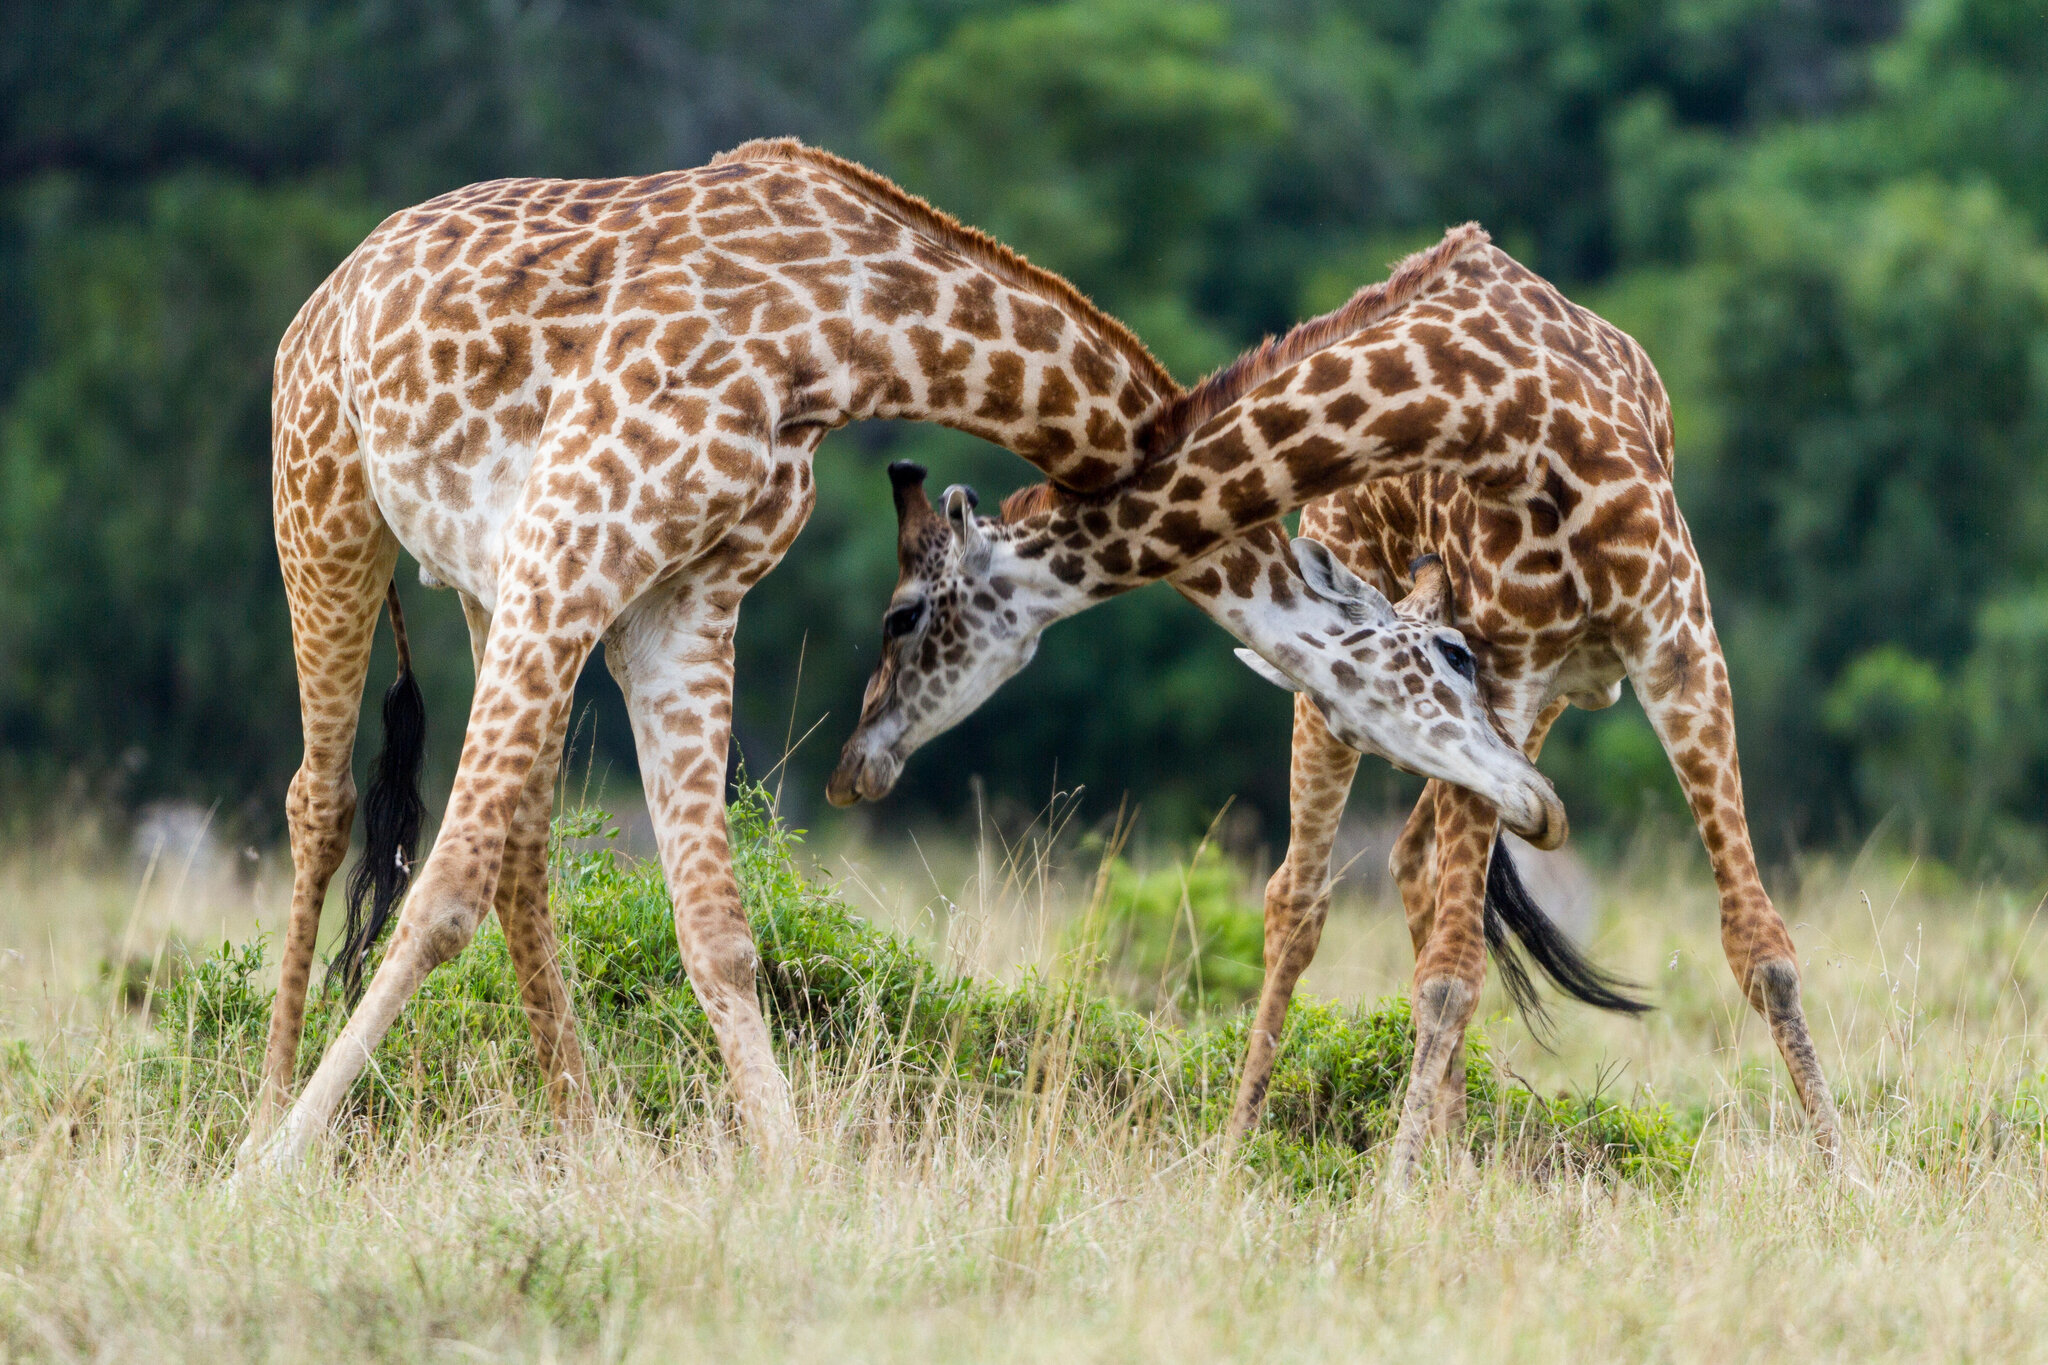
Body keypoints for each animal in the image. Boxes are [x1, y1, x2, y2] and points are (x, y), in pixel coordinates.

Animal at [249, 141, 1557, 1172]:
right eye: (1452, 658)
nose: (1536, 802)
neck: (844, 329)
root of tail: (333, 284)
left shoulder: (678, 597)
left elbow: (717, 927)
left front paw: (794, 1180)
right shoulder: (577, 550)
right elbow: (440, 897)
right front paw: (276, 1168)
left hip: (482, 579)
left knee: (515, 833)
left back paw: (577, 1134)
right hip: (326, 500)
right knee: (321, 796)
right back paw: (261, 1115)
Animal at [831, 224, 1840, 1186]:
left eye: (904, 617)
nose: (853, 768)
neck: (1505, 410)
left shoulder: (1675, 640)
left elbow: (1762, 947)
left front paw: (1844, 1178)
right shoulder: (1505, 670)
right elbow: (1450, 973)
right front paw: (1394, 1191)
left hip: (1533, 703)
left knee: (1415, 864)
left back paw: (1453, 1164)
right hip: (1405, 681)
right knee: (1306, 897)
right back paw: (1255, 1149)